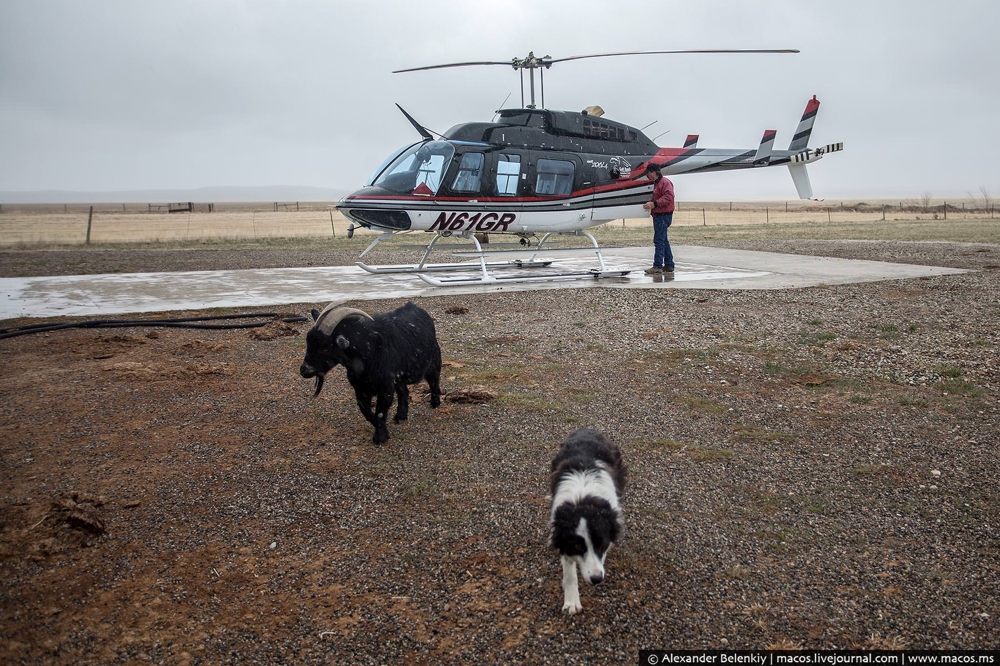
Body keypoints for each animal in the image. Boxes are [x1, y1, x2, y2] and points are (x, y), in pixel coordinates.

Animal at [298, 300, 444, 440]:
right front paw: (381, 429)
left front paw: (380, 437)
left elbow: (380, 410)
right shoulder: (360, 388)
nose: (304, 370)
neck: (368, 351)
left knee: (433, 381)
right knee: (404, 391)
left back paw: (435, 402)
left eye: (324, 347)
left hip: (434, 362)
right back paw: (400, 416)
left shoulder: (385, 387)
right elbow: (366, 412)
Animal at [548, 428, 624, 616]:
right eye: (577, 546)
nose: (597, 579)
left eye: (601, 543)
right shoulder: (563, 536)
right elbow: (570, 574)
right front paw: (571, 602)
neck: (583, 500)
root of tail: (586, 429)